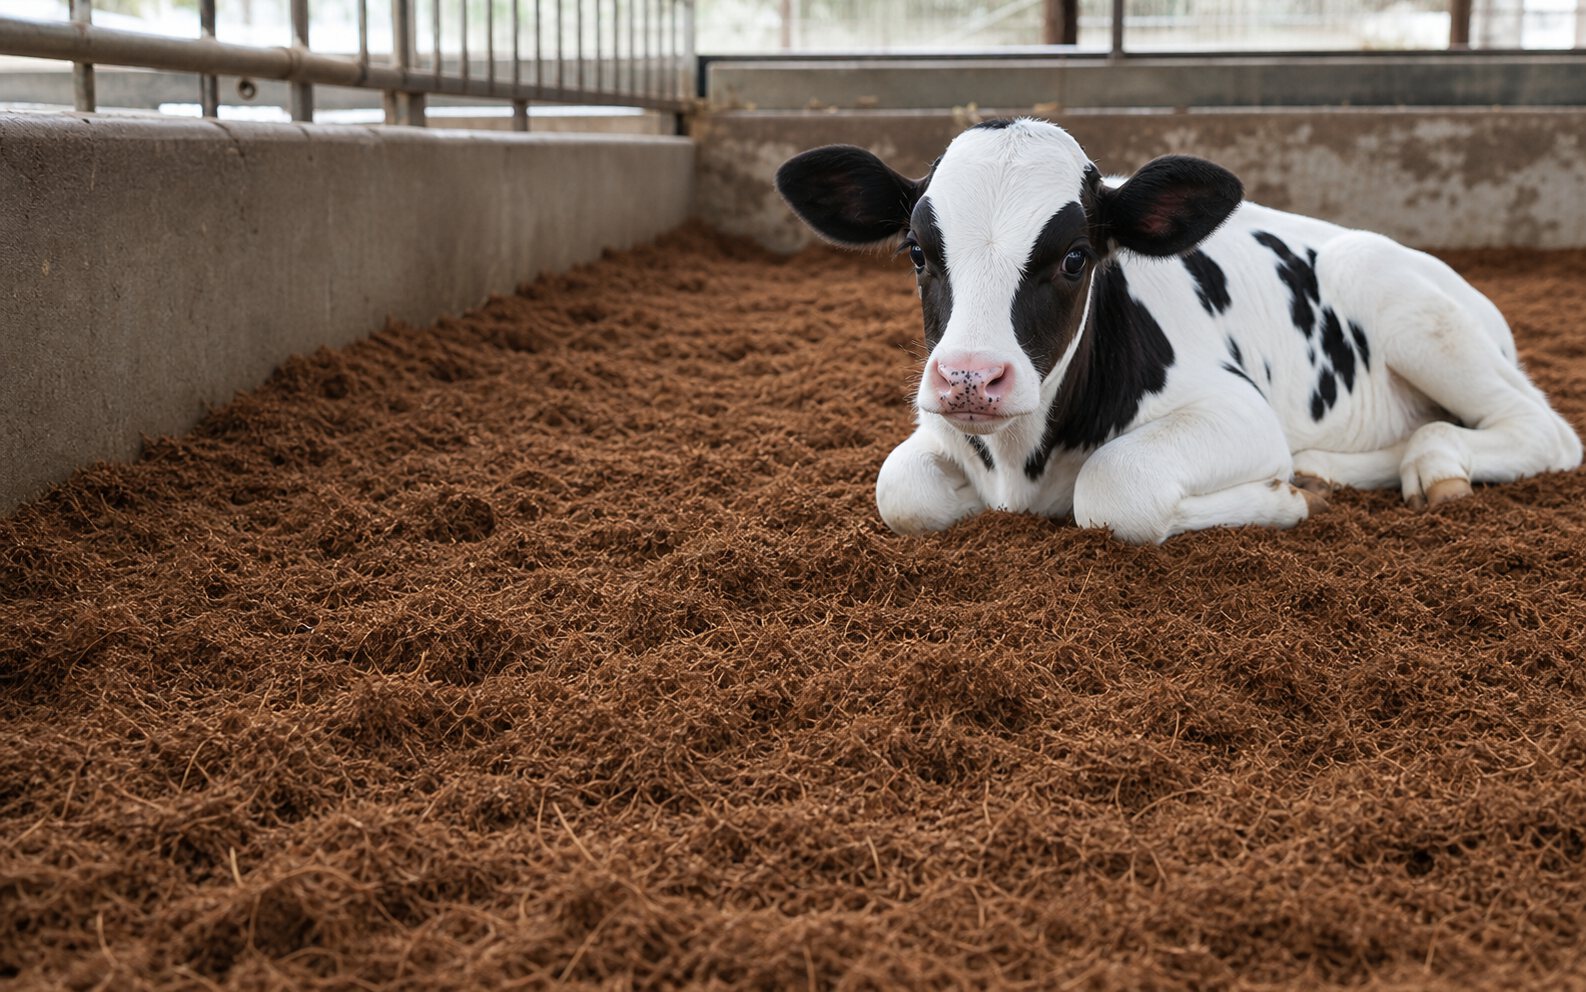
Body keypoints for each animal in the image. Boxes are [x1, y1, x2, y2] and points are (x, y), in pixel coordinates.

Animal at [774, 118, 1582, 544]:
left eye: (1076, 256)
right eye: (916, 250)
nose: (972, 375)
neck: (1019, 462)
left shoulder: (1241, 412)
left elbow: (1115, 489)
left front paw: (1280, 500)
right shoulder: (938, 424)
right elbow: (900, 488)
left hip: (1411, 309)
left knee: (1542, 430)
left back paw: (1431, 464)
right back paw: (1327, 468)